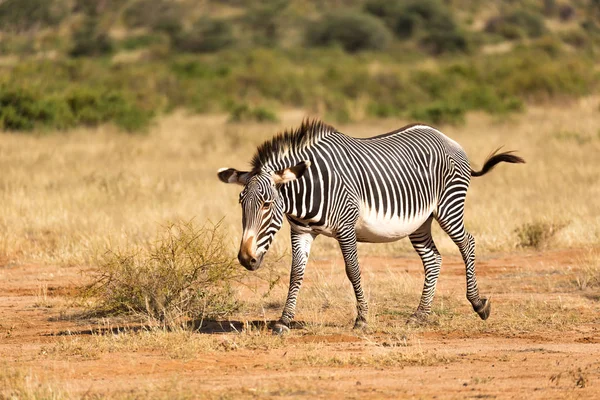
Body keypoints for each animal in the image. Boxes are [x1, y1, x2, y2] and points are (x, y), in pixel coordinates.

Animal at [218, 119, 524, 334]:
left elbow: (353, 271)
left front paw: (362, 319)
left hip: (449, 206)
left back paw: (478, 304)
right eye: (241, 202)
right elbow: (296, 274)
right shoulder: (301, 231)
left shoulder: (346, 227)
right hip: (420, 221)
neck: (307, 189)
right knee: (433, 259)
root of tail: (445, 137)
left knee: (467, 243)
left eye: (267, 204)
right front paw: (283, 320)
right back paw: (420, 314)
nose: (246, 259)